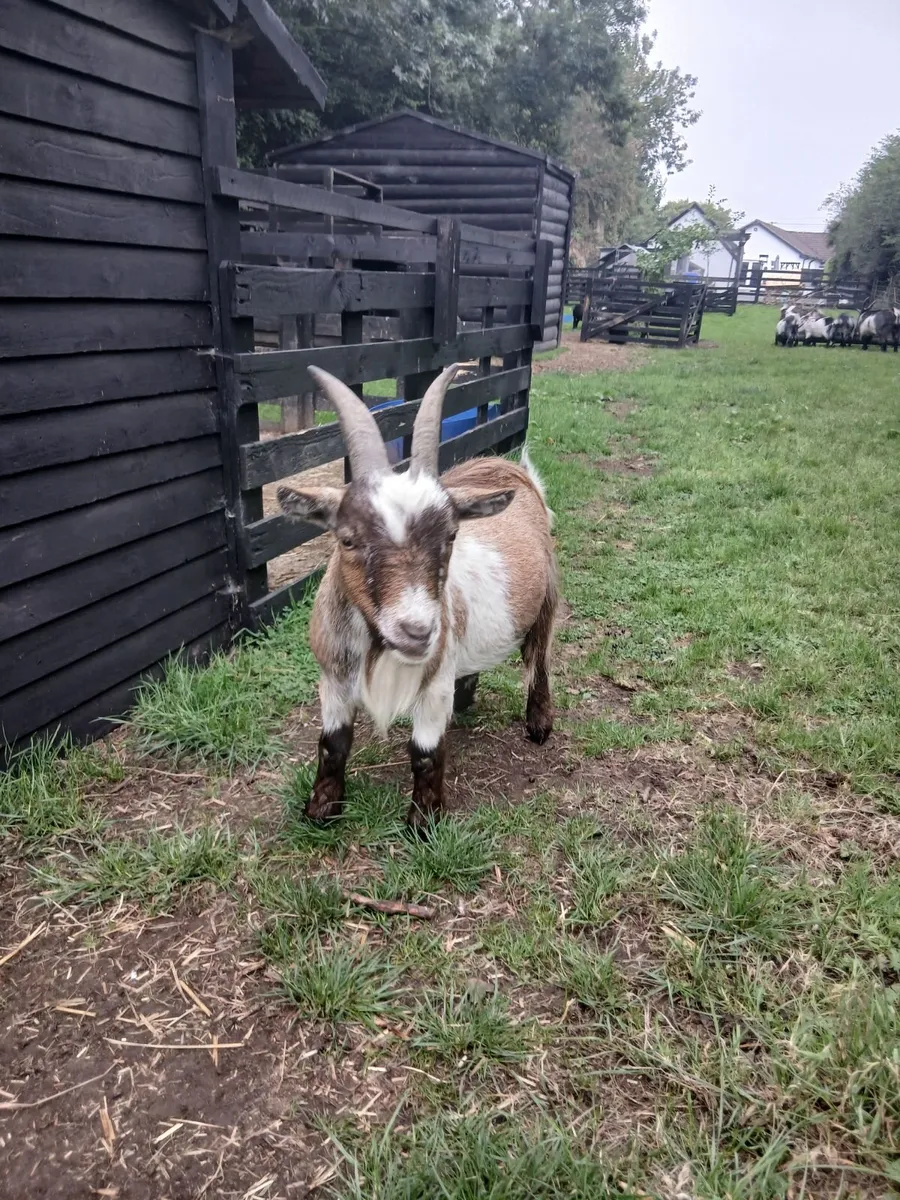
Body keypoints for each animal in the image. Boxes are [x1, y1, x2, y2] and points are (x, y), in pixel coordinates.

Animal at [277, 366, 559, 830]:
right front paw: (321, 810)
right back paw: (467, 699)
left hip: (547, 595)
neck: (378, 648)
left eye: (451, 536)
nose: (417, 631)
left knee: (540, 659)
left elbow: (425, 754)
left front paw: (423, 824)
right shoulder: (333, 679)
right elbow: (332, 744)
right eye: (347, 540)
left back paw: (539, 724)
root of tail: (510, 467)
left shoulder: (434, 683)